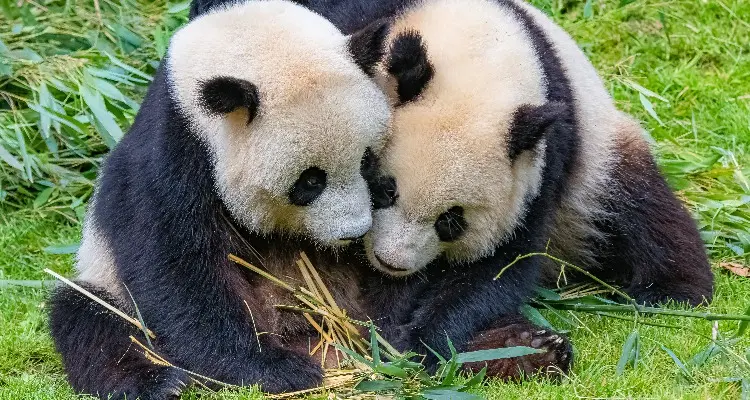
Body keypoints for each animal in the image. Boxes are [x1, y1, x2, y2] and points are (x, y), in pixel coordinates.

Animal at [48, 1, 394, 398]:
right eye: (310, 181)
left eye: (366, 160)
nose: (354, 232)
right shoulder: (172, 157)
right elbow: (177, 271)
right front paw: (274, 369)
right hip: (106, 282)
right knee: (89, 319)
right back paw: (157, 382)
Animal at [350, 0, 712, 378]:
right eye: (386, 190)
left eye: (451, 221)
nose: (391, 262)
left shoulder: (542, 164)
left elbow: (500, 266)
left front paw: (420, 339)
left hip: (598, 164)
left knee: (640, 211)